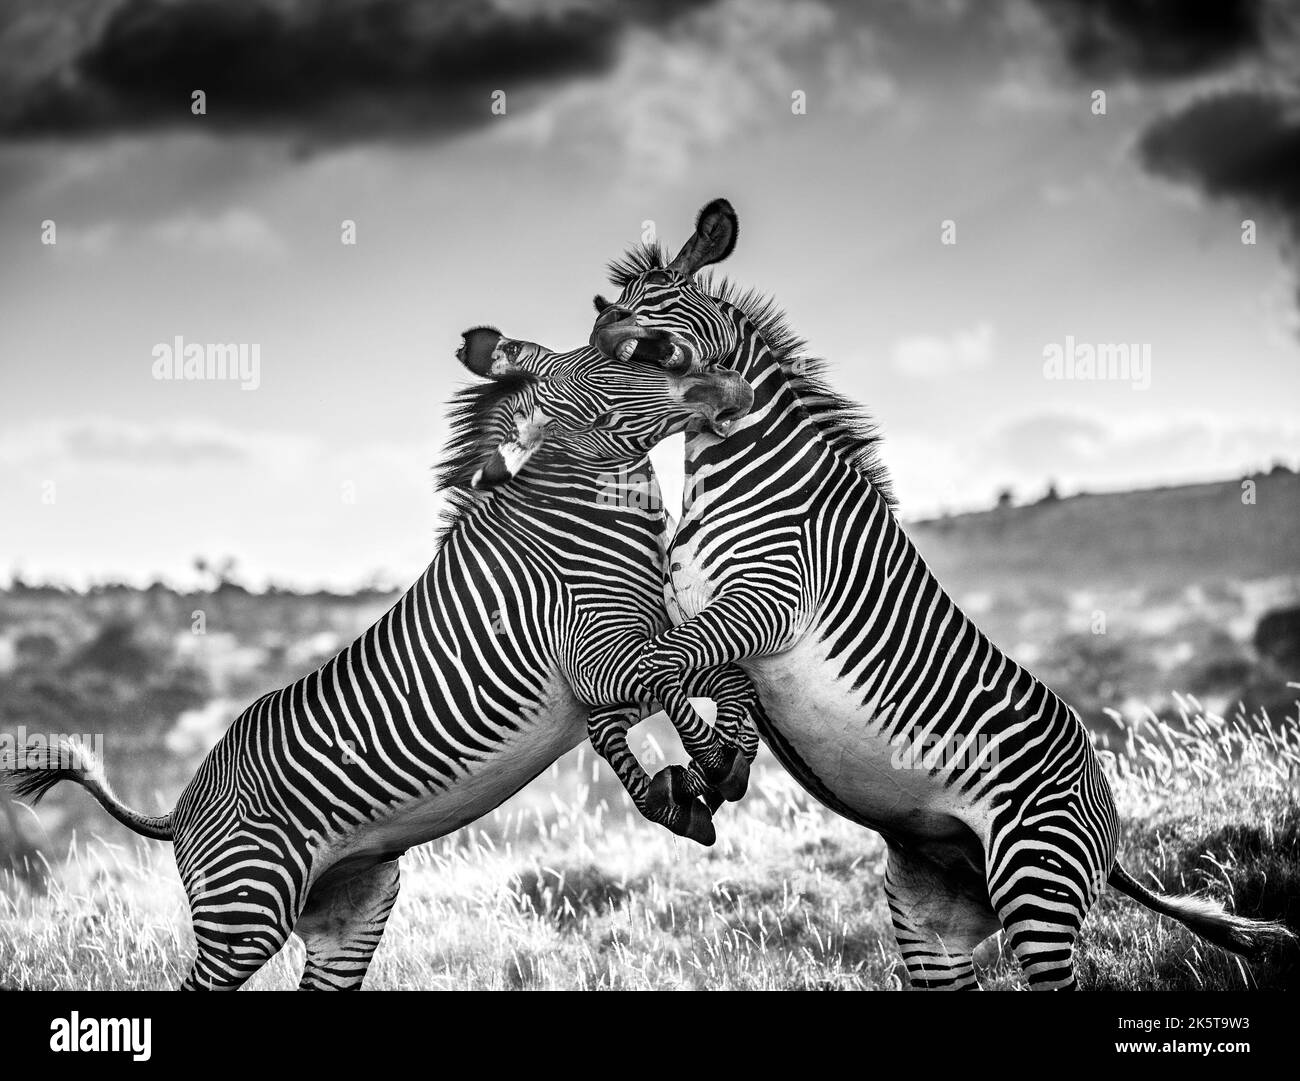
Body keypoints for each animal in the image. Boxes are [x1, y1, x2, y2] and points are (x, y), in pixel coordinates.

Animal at [2, 330, 754, 987]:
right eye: (630, 362)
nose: (735, 388)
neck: (585, 521)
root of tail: (180, 808)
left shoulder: (639, 650)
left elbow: (722, 673)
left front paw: (725, 763)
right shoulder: (597, 660)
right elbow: (677, 678)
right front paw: (714, 766)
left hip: (350, 909)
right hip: (246, 910)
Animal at [592, 196, 1300, 987]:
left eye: (652, 308)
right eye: (609, 309)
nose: (594, 335)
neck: (733, 469)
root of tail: (1109, 816)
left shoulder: (771, 599)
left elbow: (657, 666)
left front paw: (709, 770)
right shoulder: (703, 616)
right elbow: (649, 682)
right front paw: (702, 775)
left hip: (1034, 878)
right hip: (932, 916)